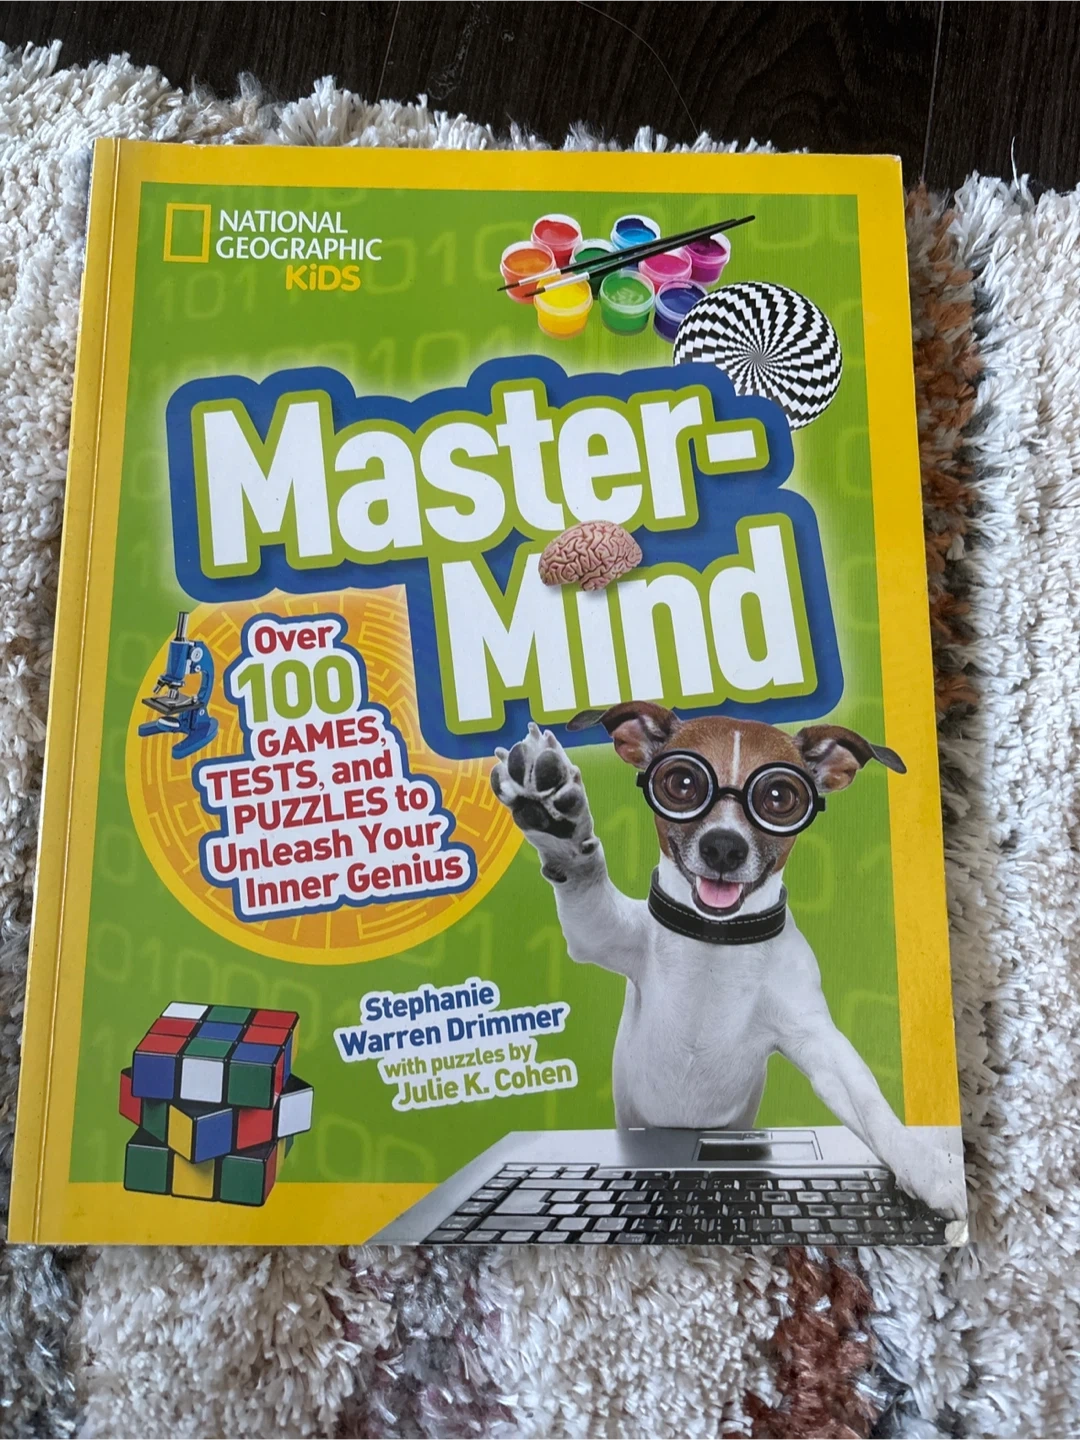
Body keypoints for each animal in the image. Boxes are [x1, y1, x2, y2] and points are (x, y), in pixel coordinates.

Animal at [490, 701, 964, 1219]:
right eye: (681, 783)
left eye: (779, 796)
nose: (723, 846)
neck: (715, 943)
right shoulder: (602, 932)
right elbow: (584, 878)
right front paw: (556, 820)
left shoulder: (817, 1041)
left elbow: (870, 1104)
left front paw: (926, 1167)